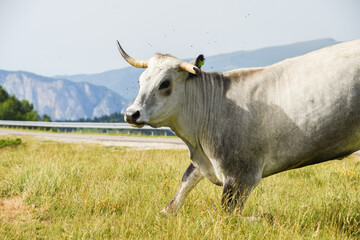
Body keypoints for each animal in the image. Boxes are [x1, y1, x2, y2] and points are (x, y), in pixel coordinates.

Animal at [117, 39, 360, 216]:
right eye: (141, 81)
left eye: (165, 84)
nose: (131, 113)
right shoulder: (206, 159)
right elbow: (183, 187)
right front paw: (164, 214)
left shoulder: (240, 175)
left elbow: (227, 216)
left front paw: (265, 218)